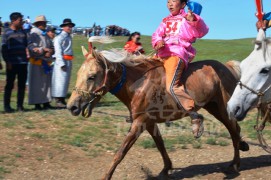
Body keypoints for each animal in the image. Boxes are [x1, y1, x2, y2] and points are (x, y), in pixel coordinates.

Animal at [67, 37, 249, 179]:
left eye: (91, 77)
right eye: (78, 74)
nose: (72, 106)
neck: (138, 84)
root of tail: (227, 67)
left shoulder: (139, 123)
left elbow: (120, 153)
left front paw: (106, 176)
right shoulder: (149, 122)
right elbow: (160, 144)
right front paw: (166, 169)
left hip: (224, 109)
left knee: (233, 130)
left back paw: (235, 163)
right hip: (214, 107)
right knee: (235, 129)